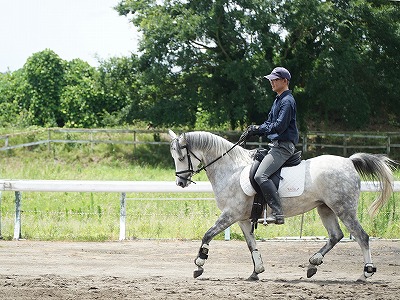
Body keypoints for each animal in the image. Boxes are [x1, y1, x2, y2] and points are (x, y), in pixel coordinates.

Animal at [167, 129, 396, 282]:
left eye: (181, 156)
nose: (180, 183)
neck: (231, 169)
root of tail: (349, 162)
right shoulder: (242, 218)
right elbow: (251, 244)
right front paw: (256, 271)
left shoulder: (230, 214)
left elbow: (207, 234)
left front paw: (199, 264)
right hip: (325, 208)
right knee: (335, 236)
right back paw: (313, 263)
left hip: (344, 209)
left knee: (361, 237)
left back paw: (366, 273)